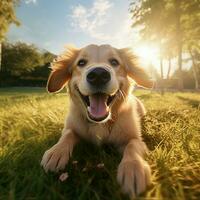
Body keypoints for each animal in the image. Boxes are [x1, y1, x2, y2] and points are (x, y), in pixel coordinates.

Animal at [40, 44, 153, 198]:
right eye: (81, 62)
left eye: (114, 62)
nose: (98, 75)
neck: (100, 123)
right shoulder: (71, 127)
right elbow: (67, 135)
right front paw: (56, 152)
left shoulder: (135, 138)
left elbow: (133, 145)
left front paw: (133, 168)